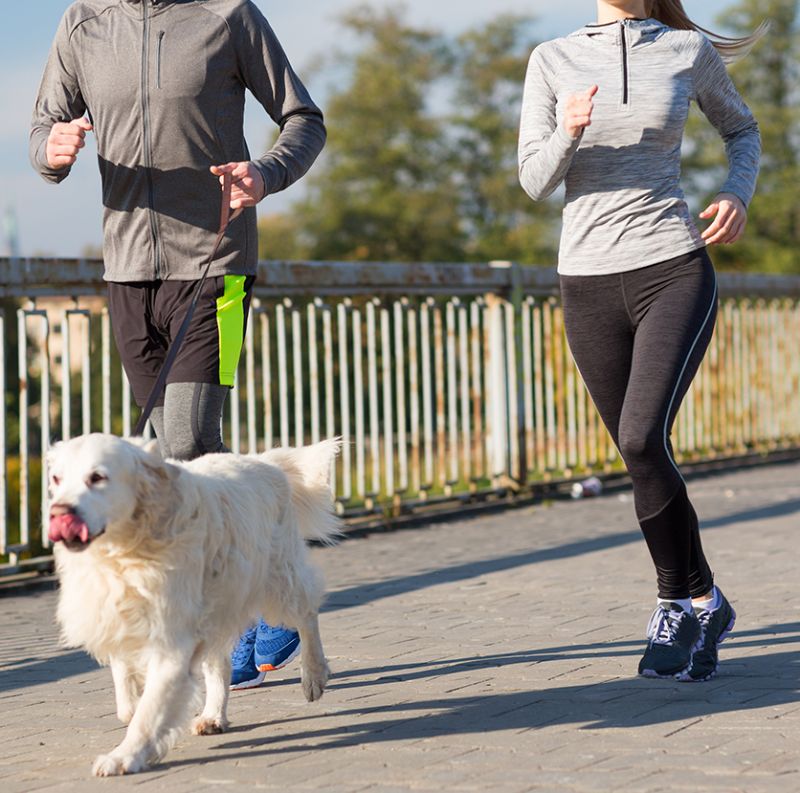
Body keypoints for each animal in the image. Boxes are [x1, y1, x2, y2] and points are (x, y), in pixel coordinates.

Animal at [47, 430, 340, 776]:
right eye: (56, 478)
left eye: (97, 477)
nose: (60, 512)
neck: (126, 549)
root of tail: (264, 462)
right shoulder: (117, 614)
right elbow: (125, 679)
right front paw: (130, 709)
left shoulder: (171, 638)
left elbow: (150, 710)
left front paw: (124, 756)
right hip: (216, 607)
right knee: (220, 665)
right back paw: (213, 715)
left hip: (278, 580)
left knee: (307, 611)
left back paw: (314, 675)